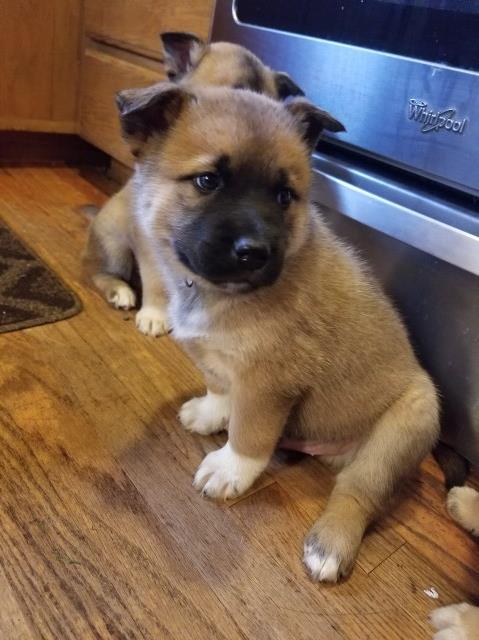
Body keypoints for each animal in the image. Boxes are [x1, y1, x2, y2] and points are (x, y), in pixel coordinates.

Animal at [114, 82, 440, 584]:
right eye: (207, 181)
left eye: (285, 196)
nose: (255, 253)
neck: (216, 293)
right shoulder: (219, 361)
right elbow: (219, 386)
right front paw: (211, 412)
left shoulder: (269, 383)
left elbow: (249, 432)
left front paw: (231, 468)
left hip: (410, 422)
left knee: (357, 491)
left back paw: (329, 546)